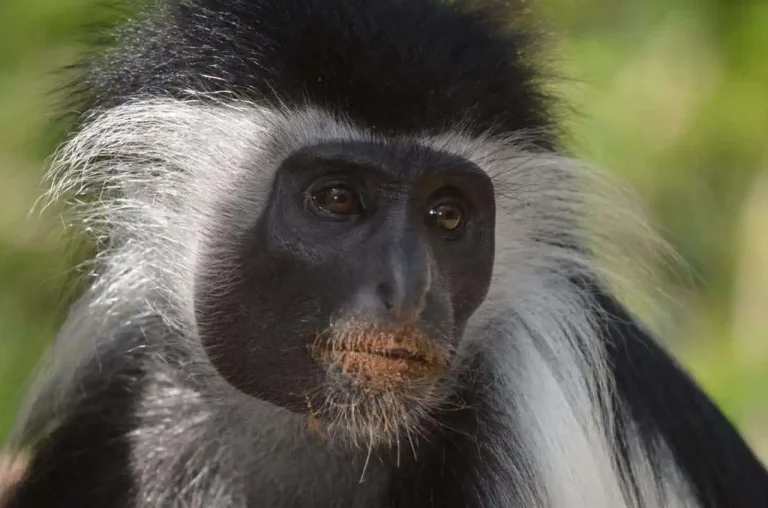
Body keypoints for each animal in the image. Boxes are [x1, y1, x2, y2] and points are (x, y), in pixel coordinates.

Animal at [2, 0, 767, 507]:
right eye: (338, 200)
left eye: (446, 216)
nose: (409, 286)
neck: (310, 431)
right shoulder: (126, 397)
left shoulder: (533, 403)